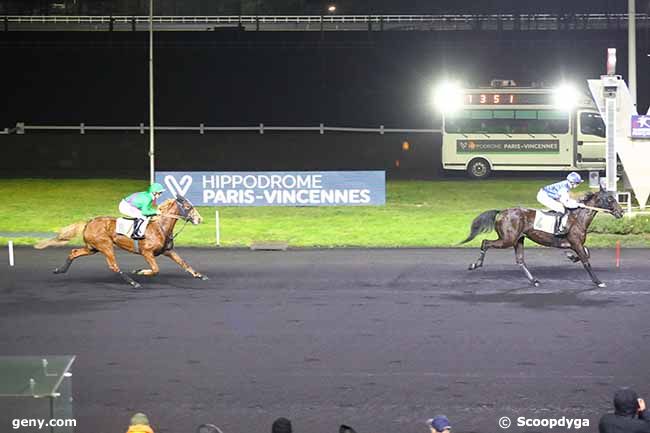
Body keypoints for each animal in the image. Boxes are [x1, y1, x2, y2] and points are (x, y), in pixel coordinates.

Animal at [34, 195, 205, 286]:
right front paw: (140, 271)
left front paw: (200, 275)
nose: (200, 219)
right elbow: (155, 269)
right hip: (105, 245)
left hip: (92, 248)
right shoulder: (147, 252)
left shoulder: (167, 251)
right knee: (113, 266)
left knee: (74, 252)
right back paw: (133, 282)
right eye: (188, 206)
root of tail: (88, 222)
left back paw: (60, 270)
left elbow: (183, 263)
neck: (160, 227)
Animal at [460, 186, 624, 286]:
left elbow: (587, 253)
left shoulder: (576, 244)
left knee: (520, 260)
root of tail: (501, 212)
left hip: (518, 239)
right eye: (610, 199)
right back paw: (475, 264)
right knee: (485, 242)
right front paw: (598, 282)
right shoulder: (576, 243)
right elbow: (586, 261)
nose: (621, 212)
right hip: (507, 240)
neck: (578, 218)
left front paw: (571, 256)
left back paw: (534, 281)